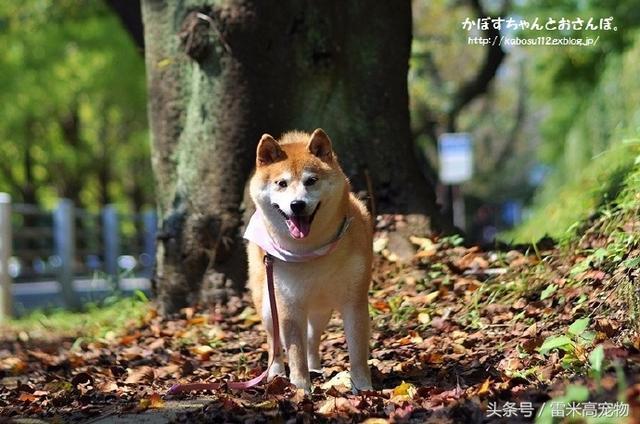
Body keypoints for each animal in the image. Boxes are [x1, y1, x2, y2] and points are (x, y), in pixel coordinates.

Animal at [245, 127, 376, 392]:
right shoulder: (289, 306)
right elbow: (295, 352)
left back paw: (315, 367)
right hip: (268, 304)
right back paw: (276, 373)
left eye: (311, 181)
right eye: (281, 183)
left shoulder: (354, 302)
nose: (297, 205)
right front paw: (301, 388)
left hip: (321, 311)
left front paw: (364, 389)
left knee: (312, 339)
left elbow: (357, 352)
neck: (312, 251)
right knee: (274, 342)